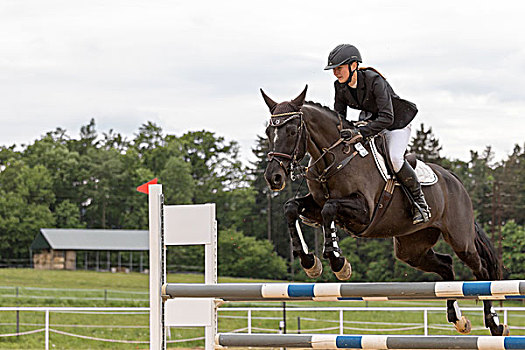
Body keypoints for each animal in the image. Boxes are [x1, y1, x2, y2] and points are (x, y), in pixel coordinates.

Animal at [260, 85, 508, 336]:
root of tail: (456, 181)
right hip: (412, 247)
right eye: (269, 131)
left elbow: (330, 210)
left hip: (460, 241)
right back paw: (457, 318)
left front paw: (339, 263)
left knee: (482, 272)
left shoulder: (364, 212)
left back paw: (494, 324)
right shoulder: (316, 205)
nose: (274, 178)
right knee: (446, 265)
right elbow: (291, 208)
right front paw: (309, 262)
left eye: (292, 131)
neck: (336, 157)